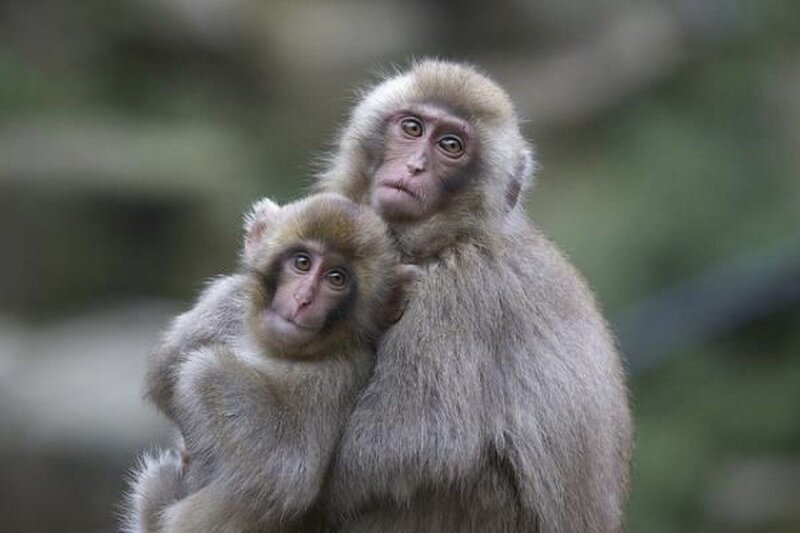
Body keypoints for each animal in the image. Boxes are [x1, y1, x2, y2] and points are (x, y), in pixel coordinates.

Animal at [122, 193, 419, 533]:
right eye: (302, 263)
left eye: (336, 278)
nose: (303, 299)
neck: (271, 346)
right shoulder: (230, 298)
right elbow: (163, 373)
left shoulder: (337, 373)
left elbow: (286, 469)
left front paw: (203, 370)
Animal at [313, 60, 633, 532]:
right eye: (412, 128)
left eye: (450, 145)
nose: (414, 167)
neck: (450, 236)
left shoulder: (454, 292)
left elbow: (408, 444)